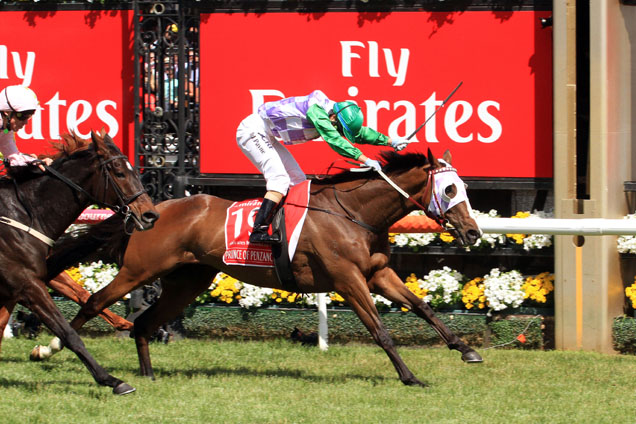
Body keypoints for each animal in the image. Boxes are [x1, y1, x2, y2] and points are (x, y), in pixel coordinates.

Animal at [0, 132, 159, 394]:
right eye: (119, 172)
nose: (150, 214)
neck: (25, 215)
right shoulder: (28, 285)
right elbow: (69, 333)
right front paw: (113, 380)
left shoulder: (18, 287)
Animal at [39, 150, 482, 388]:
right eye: (449, 189)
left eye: (462, 187)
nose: (474, 232)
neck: (353, 212)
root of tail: (150, 209)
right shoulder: (347, 278)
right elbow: (381, 331)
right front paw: (410, 376)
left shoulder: (377, 273)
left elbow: (422, 307)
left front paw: (465, 349)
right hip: (138, 270)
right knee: (94, 302)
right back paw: (47, 349)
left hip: (187, 280)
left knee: (145, 324)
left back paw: (147, 375)